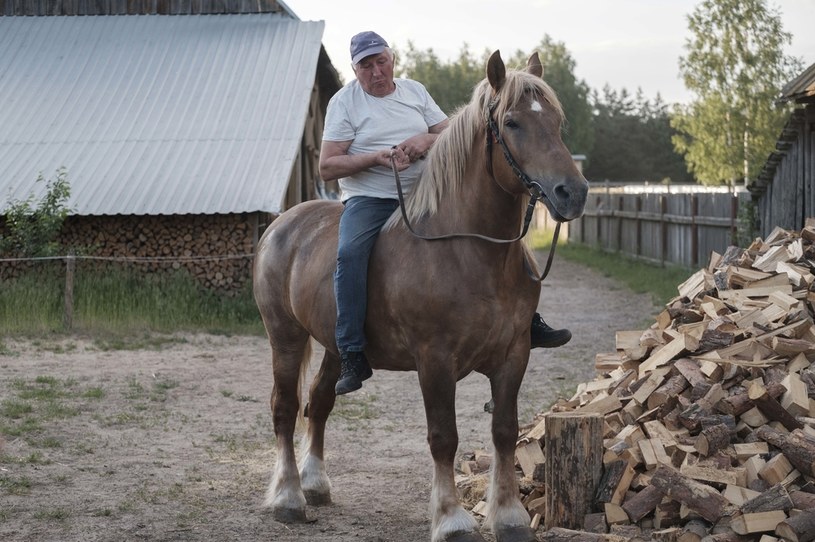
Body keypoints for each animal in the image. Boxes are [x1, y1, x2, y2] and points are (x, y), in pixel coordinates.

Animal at [255, 52, 588, 542]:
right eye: (512, 123)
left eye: (557, 122)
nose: (573, 193)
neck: (466, 250)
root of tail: (282, 225)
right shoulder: (435, 360)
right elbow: (443, 437)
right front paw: (451, 520)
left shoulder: (514, 354)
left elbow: (505, 430)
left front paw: (508, 516)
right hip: (285, 336)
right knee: (285, 408)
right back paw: (289, 498)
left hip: (335, 345)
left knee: (320, 402)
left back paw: (315, 485)